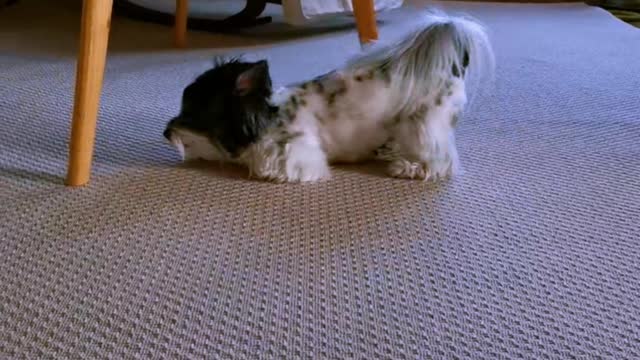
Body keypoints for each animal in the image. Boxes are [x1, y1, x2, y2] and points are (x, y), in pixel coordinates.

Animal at [162, 10, 492, 183]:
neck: (270, 117)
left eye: (191, 112)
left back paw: (408, 167)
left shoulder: (298, 156)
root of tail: (453, 66)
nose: (166, 132)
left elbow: (268, 166)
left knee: (441, 163)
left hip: (423, 125)